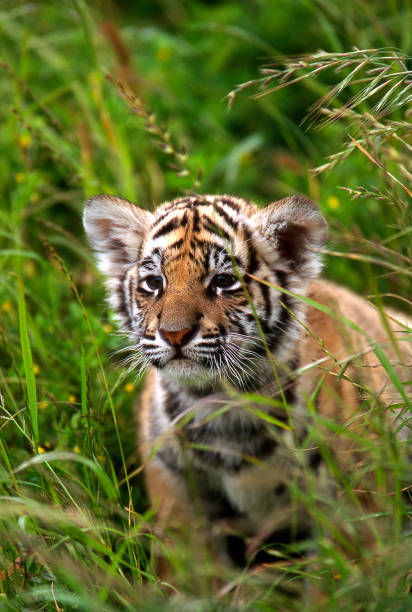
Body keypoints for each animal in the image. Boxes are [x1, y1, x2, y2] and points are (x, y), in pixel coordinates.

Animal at [82, 195, 410, 572]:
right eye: (154, 283)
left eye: (223, 281)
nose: (174, 333)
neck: (221, 404)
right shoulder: (175, 490)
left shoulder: (351, 497)